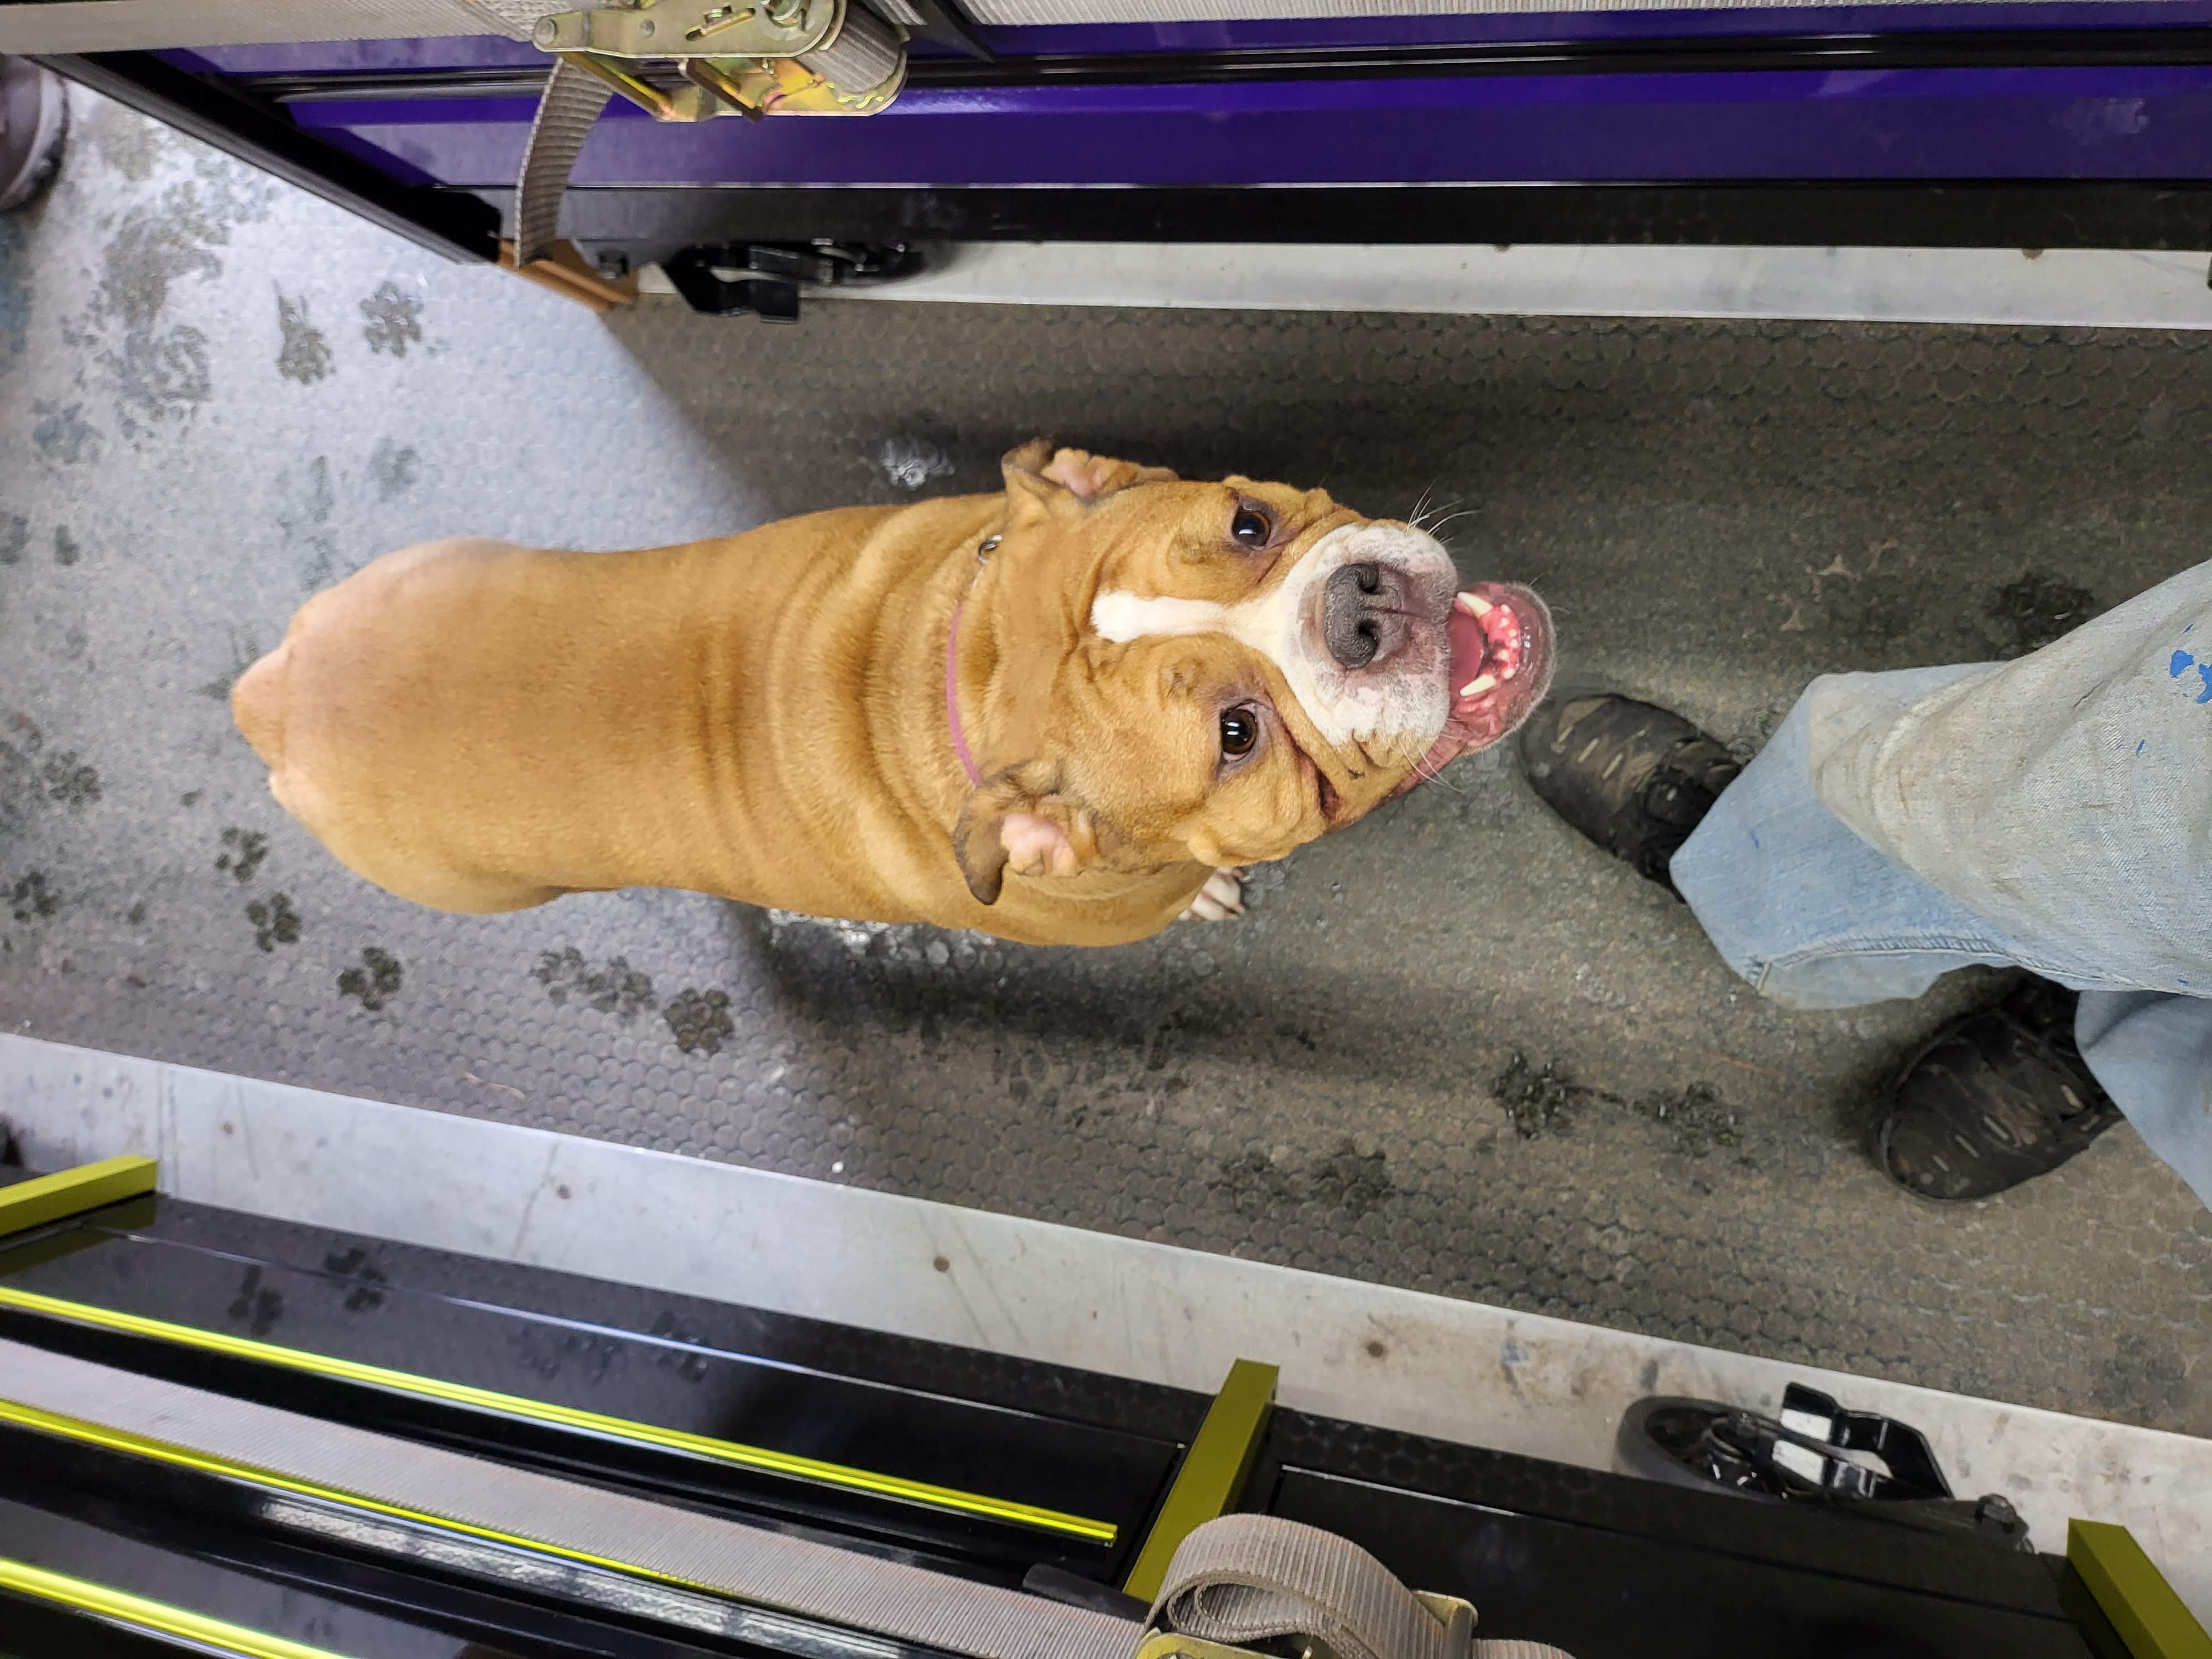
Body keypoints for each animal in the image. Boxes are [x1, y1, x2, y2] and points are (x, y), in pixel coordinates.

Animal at [231, 442, 1554, 948]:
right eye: (1236, 736)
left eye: (1250, 523)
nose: (1361, 610)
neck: (964, 664)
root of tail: (275, 695)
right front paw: (1209, 889)